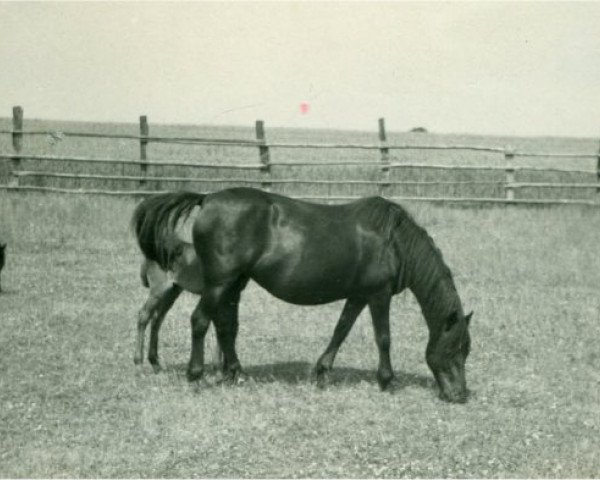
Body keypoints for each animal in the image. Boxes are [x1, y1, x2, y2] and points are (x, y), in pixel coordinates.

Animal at [132, 187, 474, 402]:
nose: (459, 396)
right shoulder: (378, 295)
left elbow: (341, 330)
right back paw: (196, 375)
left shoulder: (358, 295)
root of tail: (207, 199)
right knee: (200, 321)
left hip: (233, 284)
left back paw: (234, 373)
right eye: (457, 349)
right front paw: (387, 380)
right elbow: (384, 338)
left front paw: (322, 372)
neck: (393, 241)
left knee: (226, 326)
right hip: (219, 283)